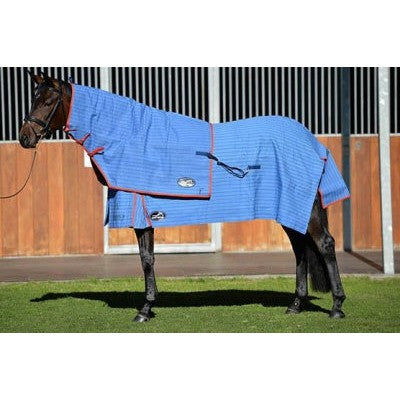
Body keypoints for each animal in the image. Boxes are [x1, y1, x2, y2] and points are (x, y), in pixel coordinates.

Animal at [19, 71, 346, 322]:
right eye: (33, 98)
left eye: (47, 101)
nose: (24, 138)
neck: (129, 138)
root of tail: (314, 144)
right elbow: (146, 258)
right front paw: (148, 306)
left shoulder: (142, 208)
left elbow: (147, 260)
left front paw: (145, 309)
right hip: (290, 209)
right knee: (300, 250)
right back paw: (295, 305)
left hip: (306, 208)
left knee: (324, 244)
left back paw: (337, 307)